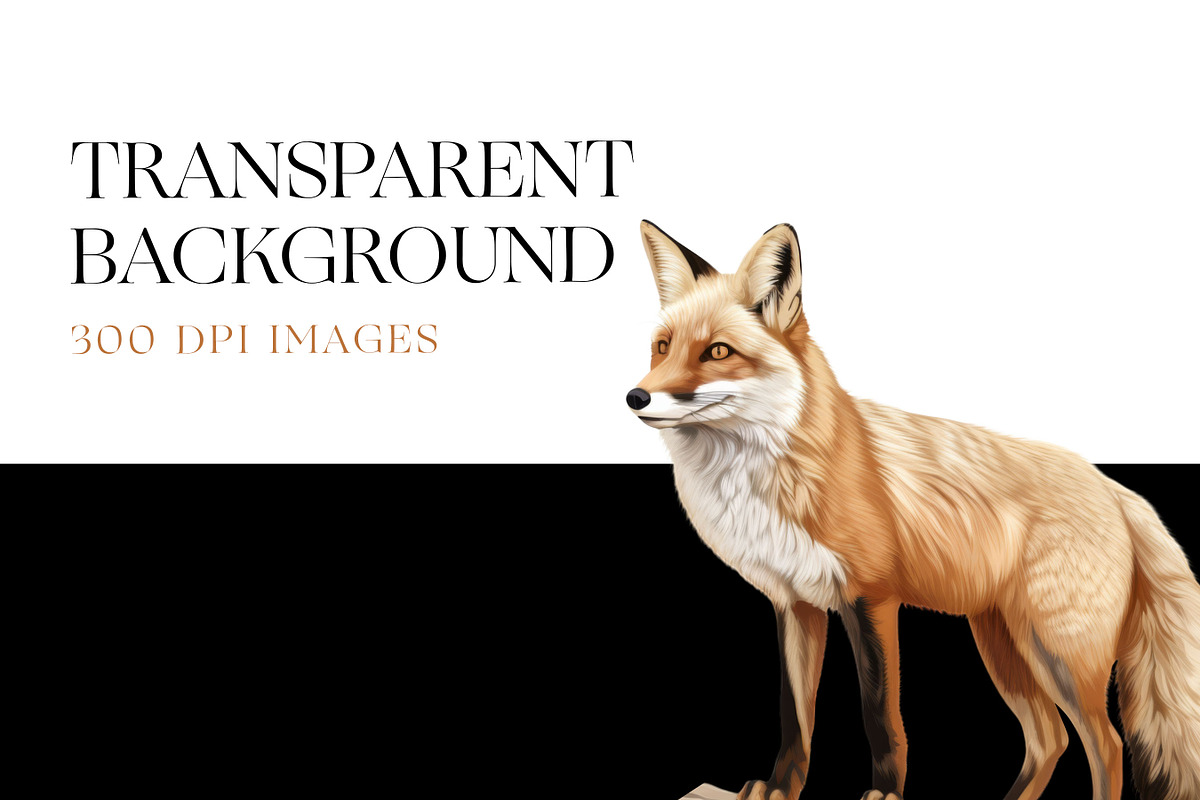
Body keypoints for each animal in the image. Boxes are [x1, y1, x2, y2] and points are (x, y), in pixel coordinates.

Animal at [627, 220, 1200, 800]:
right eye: (662, 348)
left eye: (717, 351)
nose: (635, 397)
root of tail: (1112, 486)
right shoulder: (795, 604)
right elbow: (796, 719)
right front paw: (780, 789)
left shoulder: (872, 596)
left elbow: (880, 712)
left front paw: (883, 793)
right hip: (1002, 644)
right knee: (1049, 740)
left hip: (1056, 650)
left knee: (1106, 744)